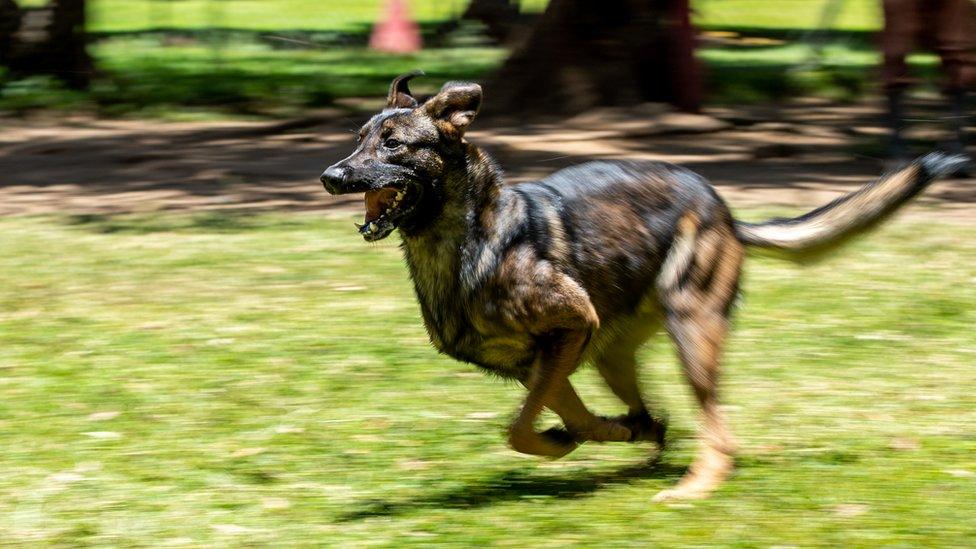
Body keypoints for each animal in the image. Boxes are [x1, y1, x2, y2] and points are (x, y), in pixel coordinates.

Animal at [322, 71, 968, 500]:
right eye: (358, 140)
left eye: (394, 145)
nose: (330, 177)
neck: (466, 240)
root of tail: (725, 211)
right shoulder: (544, 358)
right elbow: (549, 416)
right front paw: (601, 434)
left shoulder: (570, 326)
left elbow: (521, 427)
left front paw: (578, 438)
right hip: (614, 352)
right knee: (653, 407)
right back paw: (644, 440)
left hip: (692, 333)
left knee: (718, 430)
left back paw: (693, 487)